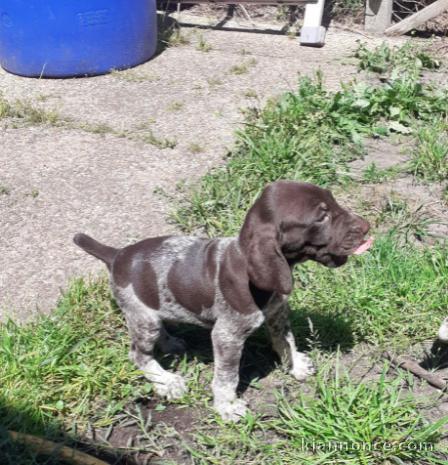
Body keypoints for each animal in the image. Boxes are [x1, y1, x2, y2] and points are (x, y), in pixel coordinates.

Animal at [75, 181, 372, 420]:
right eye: (322, 216)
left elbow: (285, 339)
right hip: (142, 319)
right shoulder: (227, 335)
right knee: (138, 355)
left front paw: (295, 364)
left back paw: (170, 342)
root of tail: (117, 256)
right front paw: (226, 406)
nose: (367, 227)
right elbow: (227, 376)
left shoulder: (277, 312)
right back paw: (167, 381)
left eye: (333, 200)